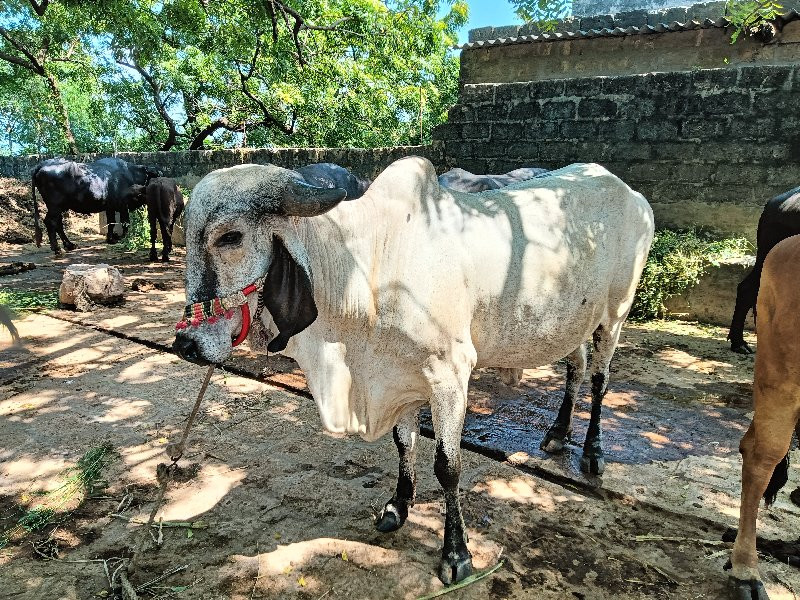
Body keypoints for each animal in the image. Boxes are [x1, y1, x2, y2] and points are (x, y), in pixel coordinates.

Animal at [32, 157, 160, 253]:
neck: (131, 174)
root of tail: (43, 164)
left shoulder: (110, 207)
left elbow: (111, 222)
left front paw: (110, 239)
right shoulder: (123, 205)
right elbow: (125, 222)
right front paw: (125, 238)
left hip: (58, 207)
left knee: (58, 224)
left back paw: (69, 245)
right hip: (55, 206)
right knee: (51, 222)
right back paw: (57, 248)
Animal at [172, 155, 652, 584]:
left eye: (230, 237)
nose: (185, 344)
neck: (369, 272)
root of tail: (632, 194)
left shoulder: (449, 377)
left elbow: (447, 467)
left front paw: (456, 554)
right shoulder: (397, 377)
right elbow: (404, 445)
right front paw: (398, 506)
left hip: (615, 315)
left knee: (600, 379)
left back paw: (592, 451)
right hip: (575, 322)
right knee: (576, 367)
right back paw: (557, 433)